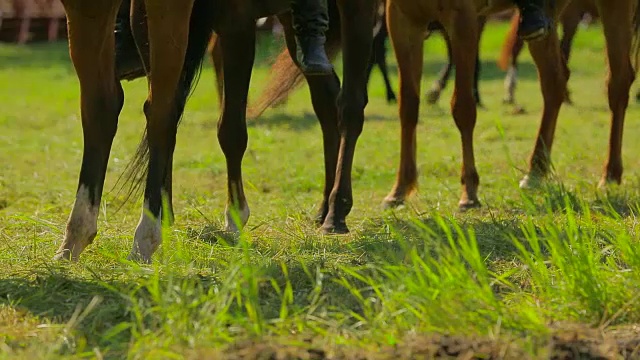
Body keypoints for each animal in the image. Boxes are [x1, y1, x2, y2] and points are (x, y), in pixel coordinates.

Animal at [55, 0, 378, 262]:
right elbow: (146, 113)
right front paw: (165, 214)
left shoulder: (236, 24)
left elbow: (227, 130)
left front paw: (234, 216)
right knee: (326, 103)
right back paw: (324, 206)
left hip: (356, 12)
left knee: (349, 107)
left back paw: (337, 211)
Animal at [382, 0, 636, 208]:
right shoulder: (401, 19)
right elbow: (408, 107)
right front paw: (400, 189)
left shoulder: (464, 19)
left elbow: (463, 108)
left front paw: (469, 191)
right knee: (555, 81)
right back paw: (535, 172)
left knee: (618, 83)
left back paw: (610, 174)